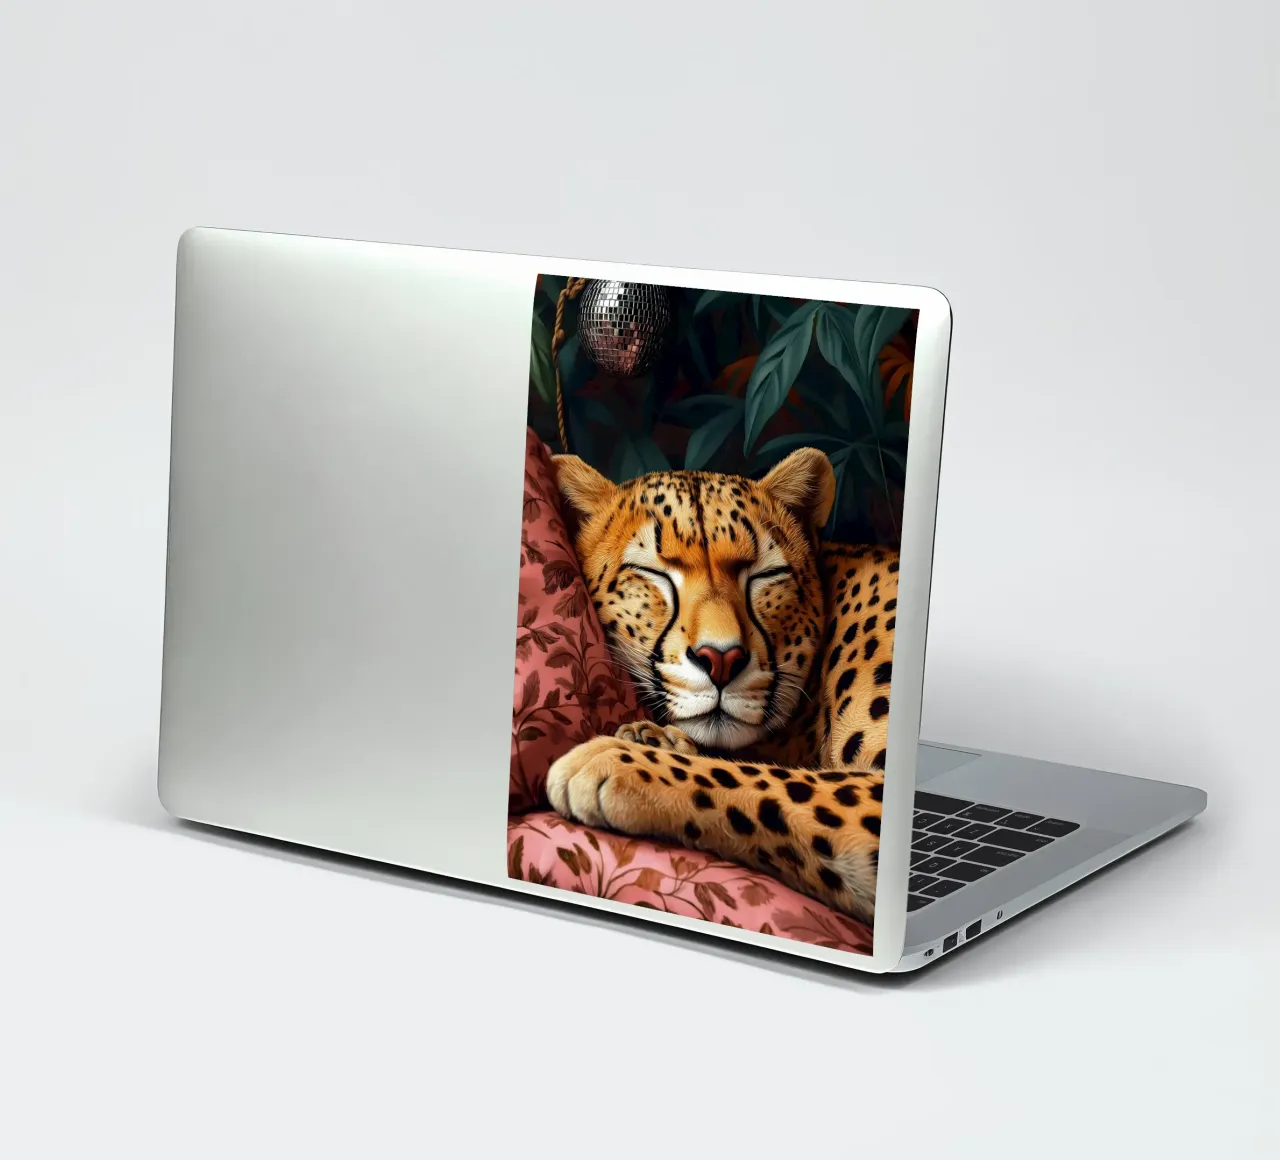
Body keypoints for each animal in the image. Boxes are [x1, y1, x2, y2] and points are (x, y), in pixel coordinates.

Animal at [545, 446, 899, 924]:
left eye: (765, 575)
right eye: (652, 573)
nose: (721, 660)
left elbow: (768, 781)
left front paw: (615, 759)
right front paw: (652, 738)